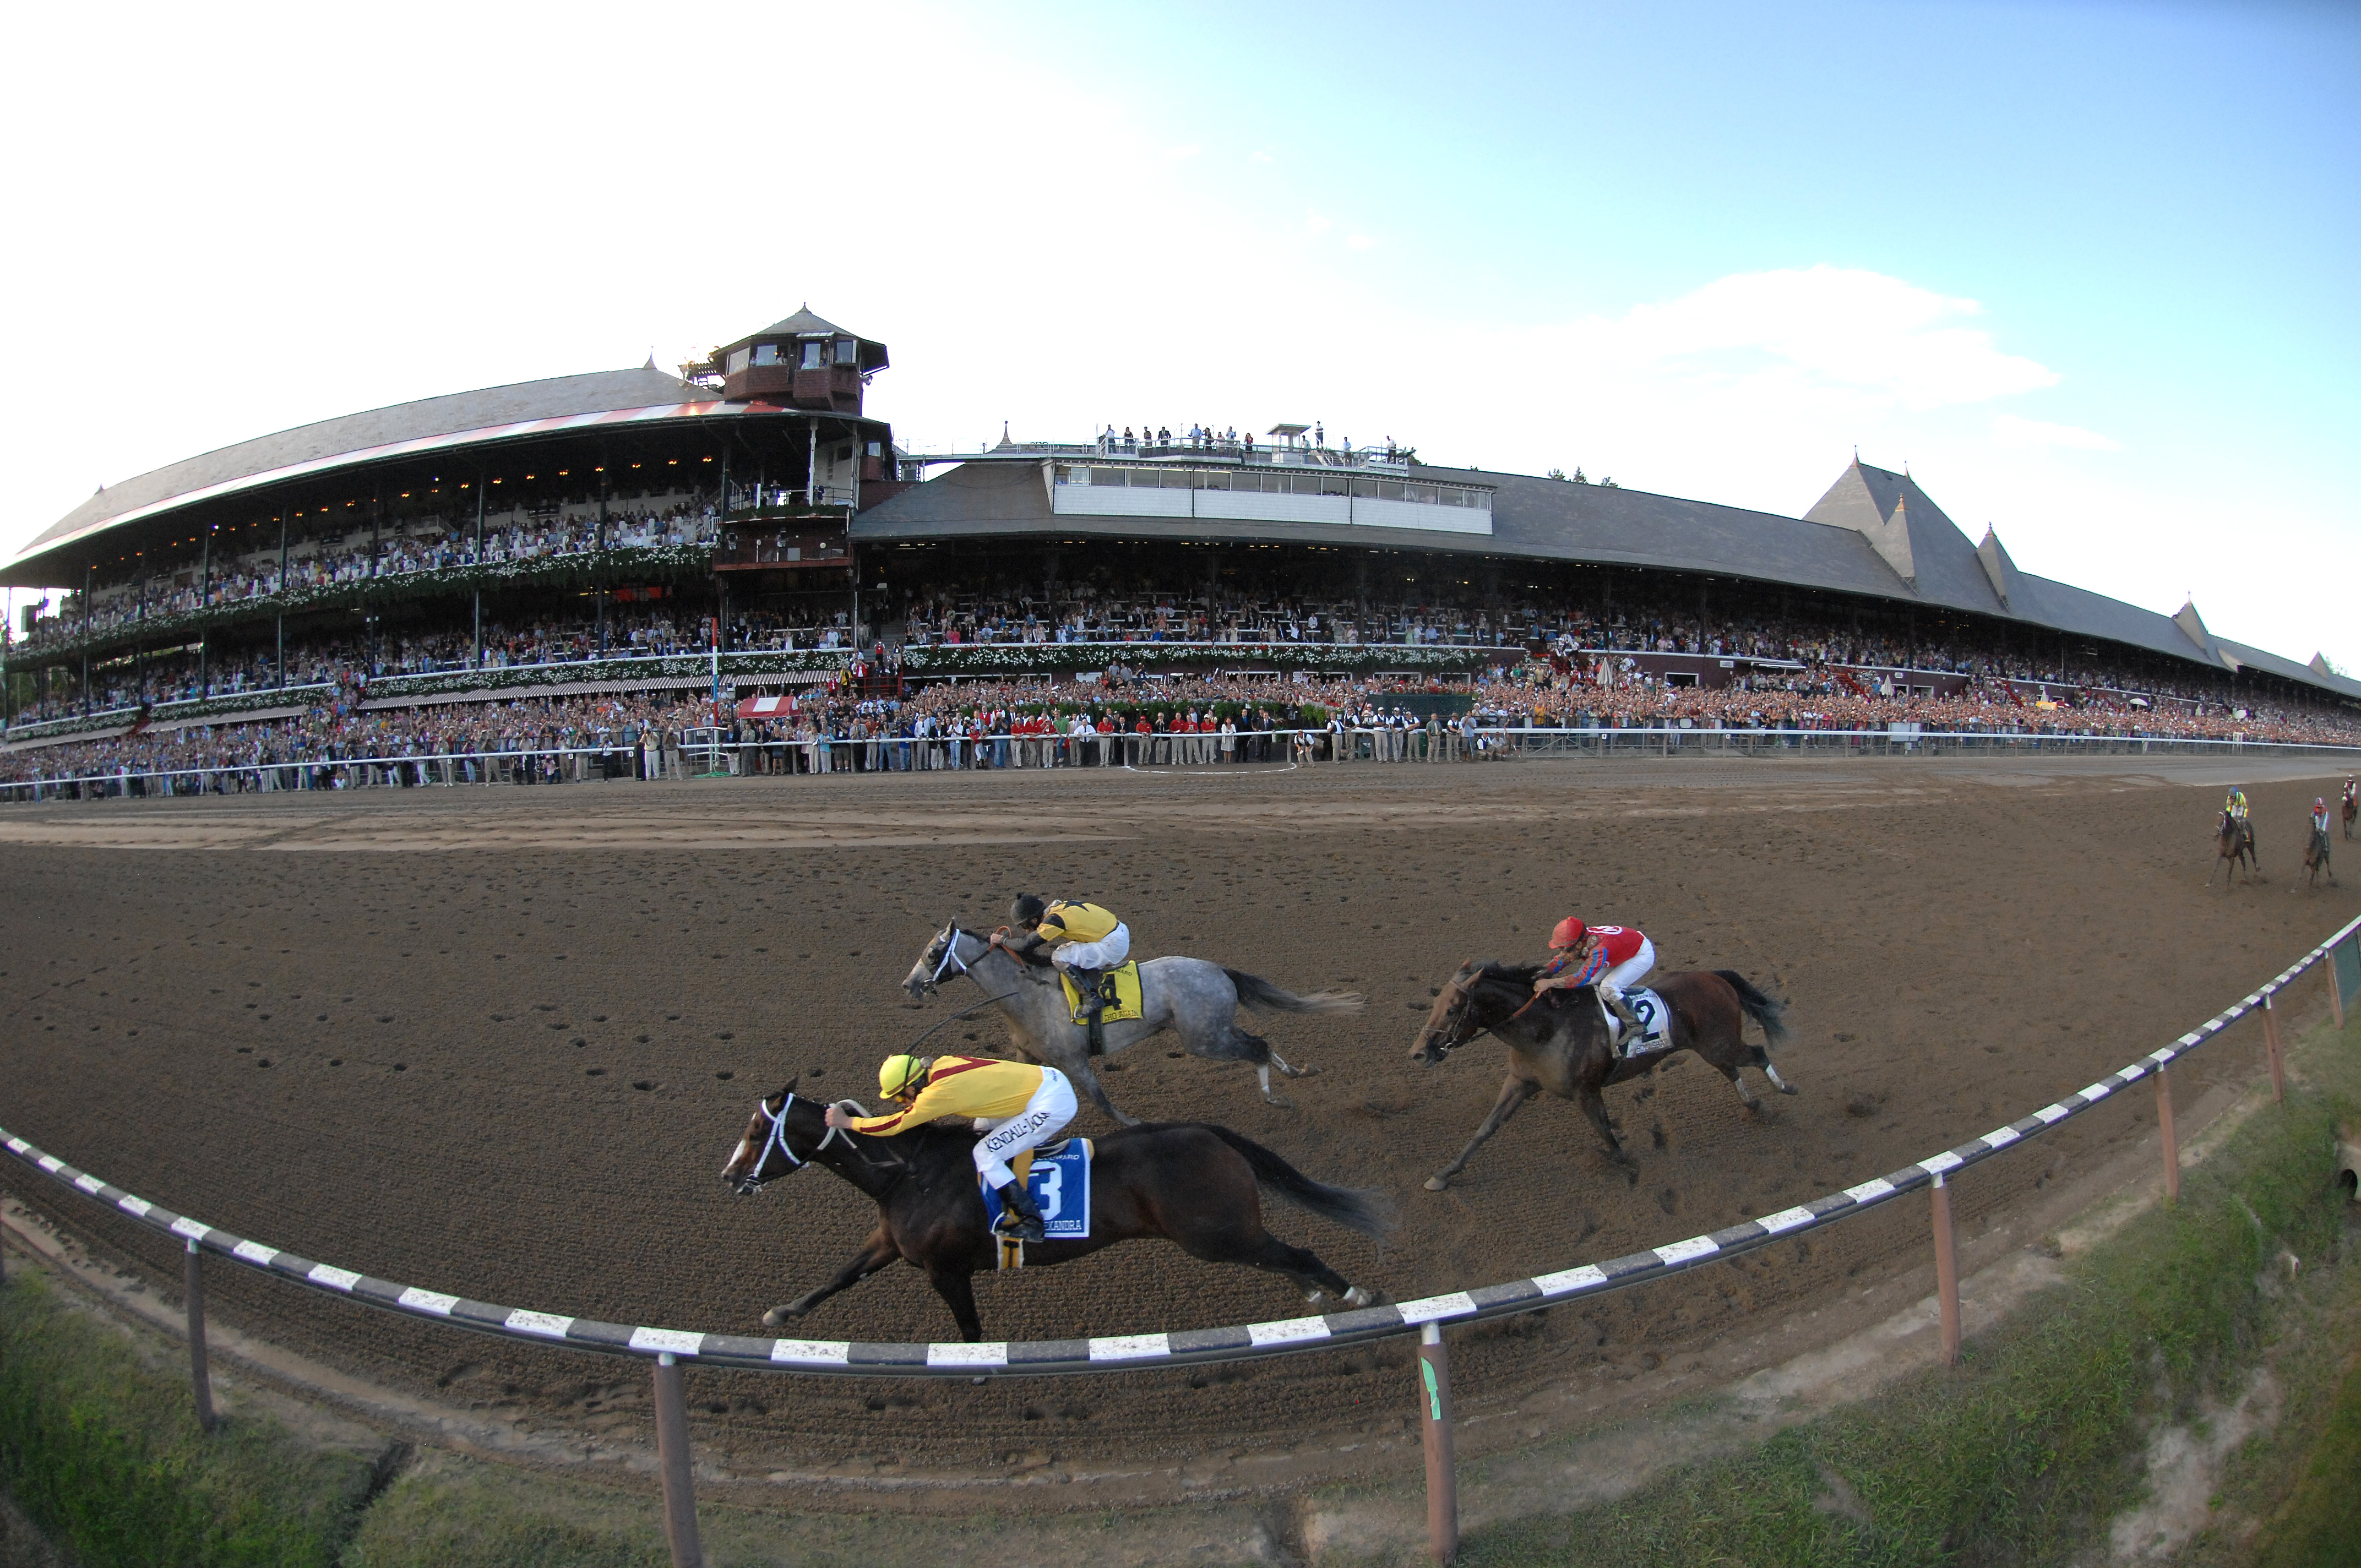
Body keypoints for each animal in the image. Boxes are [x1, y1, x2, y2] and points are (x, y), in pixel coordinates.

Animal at [708, 1086, 1388, 1341]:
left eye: (756, 1132)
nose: (730, 1177)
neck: (906, 1172)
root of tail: (1209, 1133)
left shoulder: (946, 1270)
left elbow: (970, 1332)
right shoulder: (893, 1244)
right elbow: (839, 1277)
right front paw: (781, 1312)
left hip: (1212, 1233)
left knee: (1293, 1251)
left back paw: (1355, 1293)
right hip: (1223, 1234)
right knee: (1278, 1255)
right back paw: (1317, 1293)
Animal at [892, 921, 1359, 1129]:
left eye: (932, 954)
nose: (909, 985)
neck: (1026, 995)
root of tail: (1219, 970)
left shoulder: (1075, 1061)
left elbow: (1102, 1103)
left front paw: (1135, 1124)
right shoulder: (1026, 1055)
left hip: (1203, 1039)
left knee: (1257, 1048)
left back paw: (1277, 1098)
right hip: (1211, 1030)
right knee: (1259, 1041)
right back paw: (1297, 1072)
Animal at [1397, 963, 1785, 1195]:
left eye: (1452, 1010)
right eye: (1435, 1004)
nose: (1418, 1053)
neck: (1545, 1030)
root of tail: (1715, 977)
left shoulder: (1585, 1091)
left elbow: (1604, 1131)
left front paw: (1625, 1162)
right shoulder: (1520, 1082)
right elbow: (1486, 1129)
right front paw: (1444, 1174)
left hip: (1719, 1044)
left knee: (1757, 1055)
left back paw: (1783, 1089)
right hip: (1713, 1048)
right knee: (1734, 1069)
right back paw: (1753, 1103)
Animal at [2200, 812, 2257, 888]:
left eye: (2222, 822)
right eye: (2217, 820)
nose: (2215, 835)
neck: (2228, 841)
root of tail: (2247, 822)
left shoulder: (2231, 859)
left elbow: (2229, 873)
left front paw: (2227, 888)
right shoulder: (2220, 855)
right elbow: (2215, 868)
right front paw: (2208, 883)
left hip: (2251, 846)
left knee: (2253, 858)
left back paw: (2257, 869)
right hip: (2240, 852)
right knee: (2243, 862)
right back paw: (2245, 880)